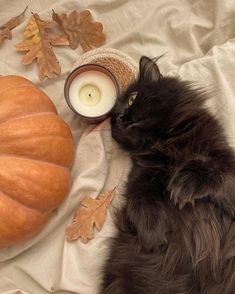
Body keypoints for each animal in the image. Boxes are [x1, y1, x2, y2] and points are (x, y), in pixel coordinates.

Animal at [99, 56, 235, 292]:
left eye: (132, 98)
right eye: (115, 119)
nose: (123, 118)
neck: (165, 142)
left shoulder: (225, 164)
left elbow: (211, 169)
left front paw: (184, 184)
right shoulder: (142, 176)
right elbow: (141, 200)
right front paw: (155, 237)